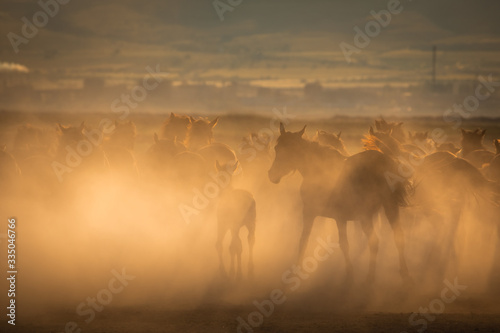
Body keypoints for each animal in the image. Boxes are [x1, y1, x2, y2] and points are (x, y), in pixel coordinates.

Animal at [268, 122, 412, 280]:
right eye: (277, 148)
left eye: (292, 149)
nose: (272, 175)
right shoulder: (326, 216)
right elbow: (305, 240)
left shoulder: (320, 214)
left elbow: (338, 244)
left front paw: (349, 273)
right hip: (388, 208)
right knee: (397, 237)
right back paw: (403, 272)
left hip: (367, 215)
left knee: (375, 242)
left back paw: (370, 276)